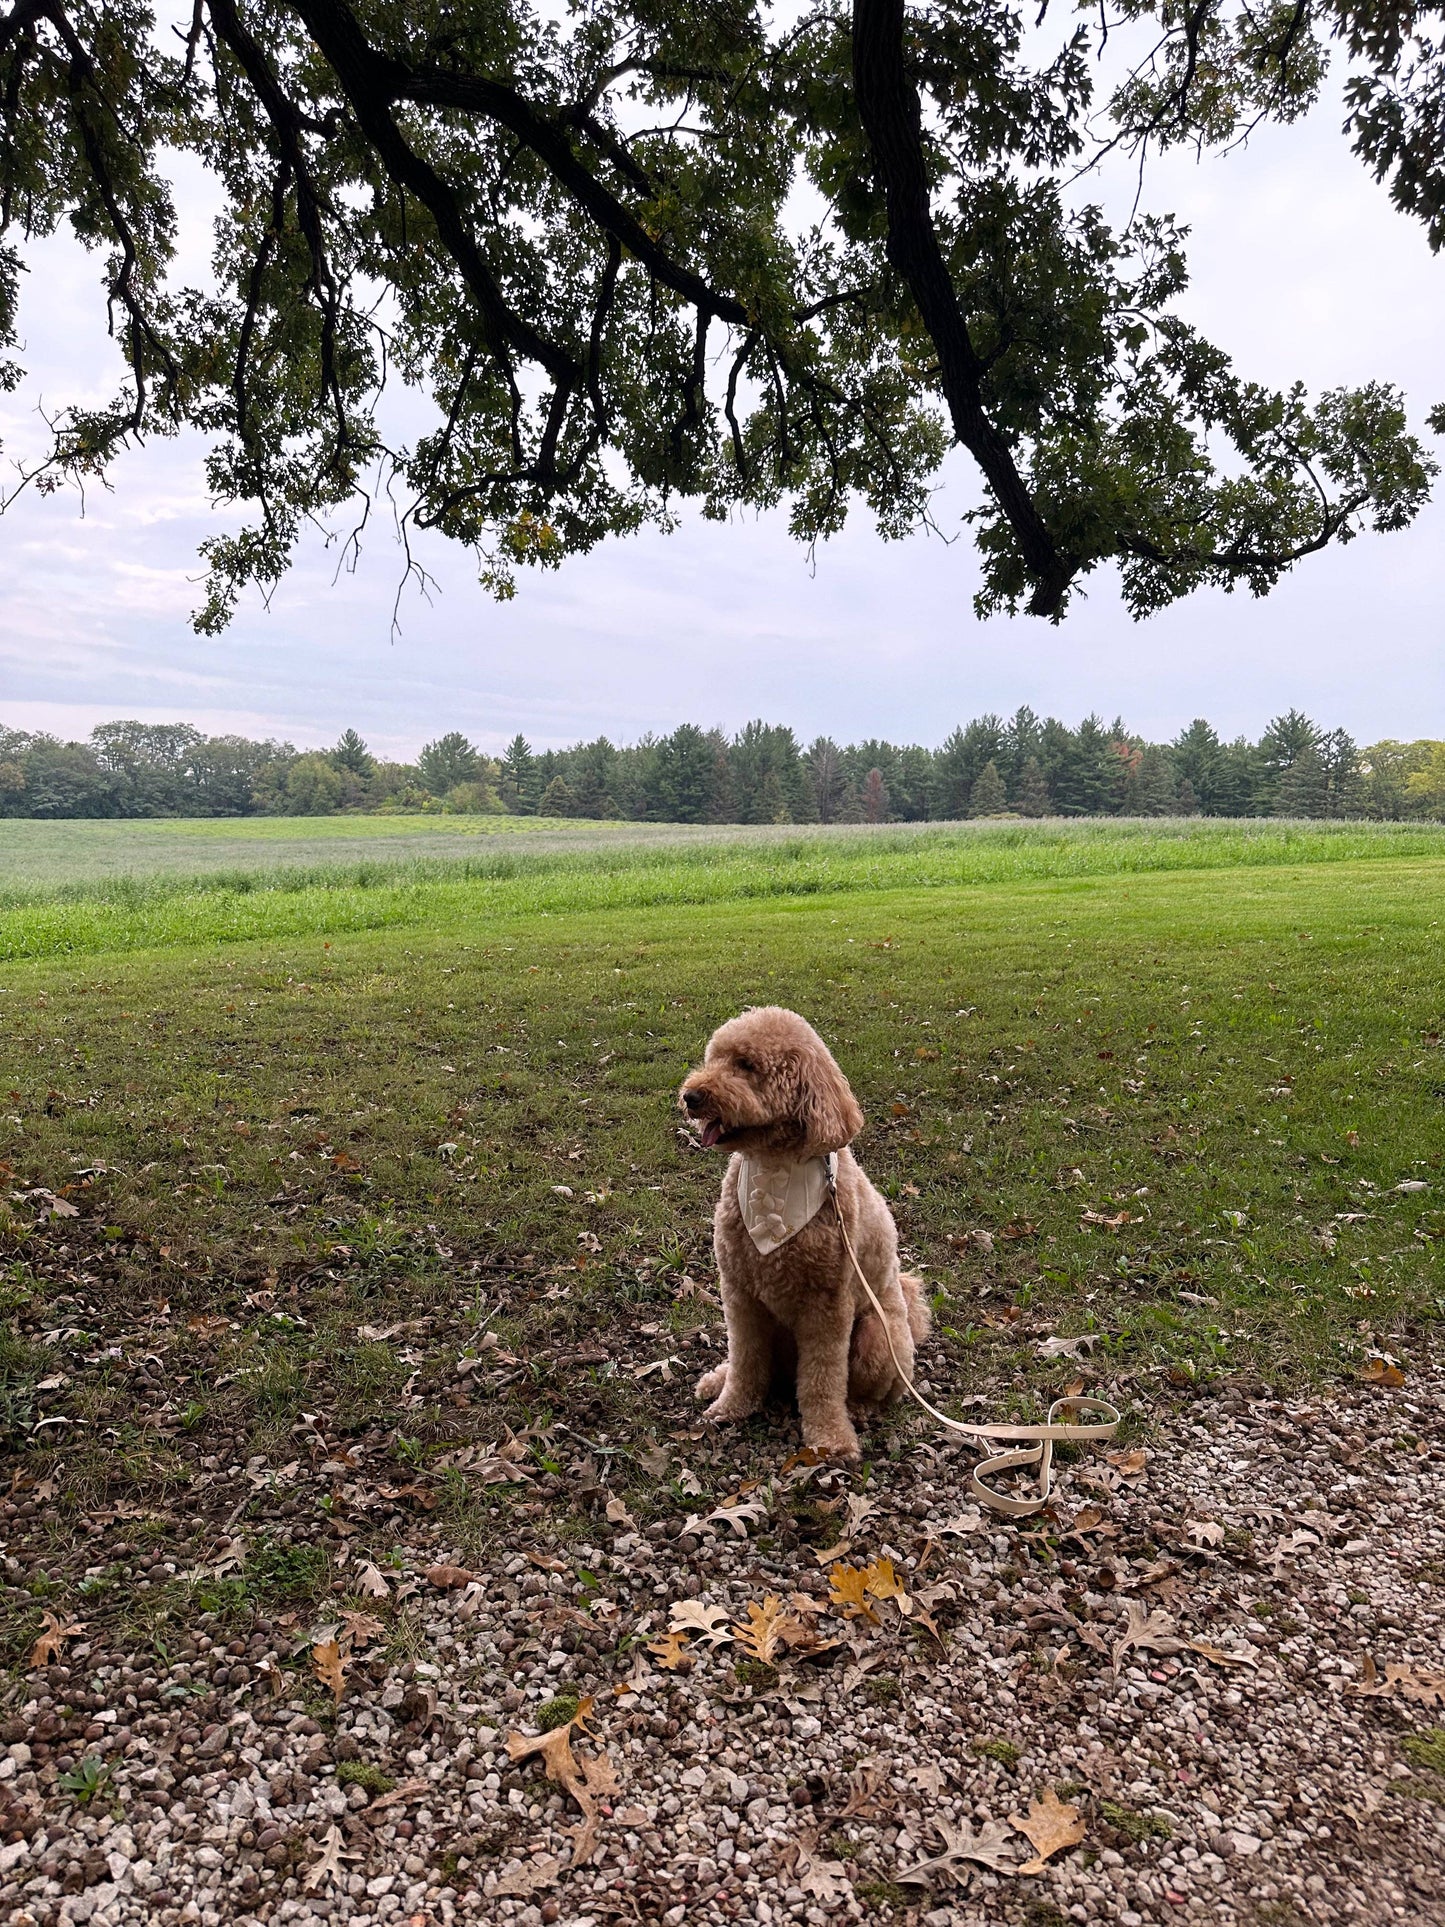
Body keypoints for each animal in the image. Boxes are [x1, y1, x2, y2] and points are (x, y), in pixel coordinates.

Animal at [682, 1009, 932, 1456]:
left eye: (746, 1065)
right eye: (714, 1059)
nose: (691, 1096)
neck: (772, 1169)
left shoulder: (827, 1305)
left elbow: (822, 1378)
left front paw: (831, 1438)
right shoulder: (740, 1290)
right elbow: (745, 1359)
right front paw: (730, 1405)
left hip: (877, 1335)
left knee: (873, 1388)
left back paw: (859, 1410)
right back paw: (717, 1378)